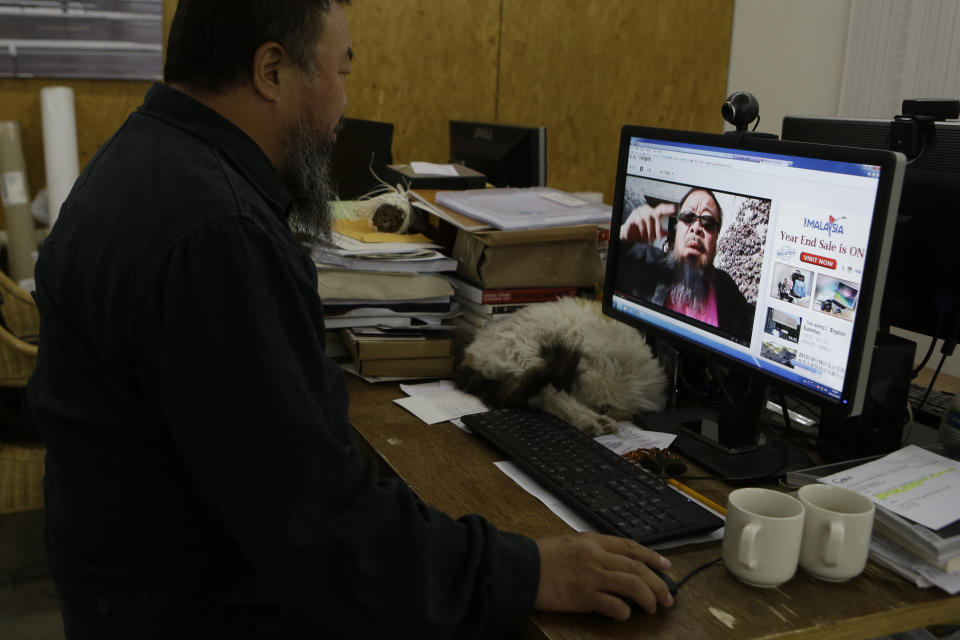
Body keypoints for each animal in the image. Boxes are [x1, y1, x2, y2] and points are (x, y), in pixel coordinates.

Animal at [456, 296, 668, 436]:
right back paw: (591, 423)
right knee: (551, 397)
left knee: (543, 400)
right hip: (528, 355)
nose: (600, 410)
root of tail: (471, 354)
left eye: (603, 407)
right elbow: (563, 398)